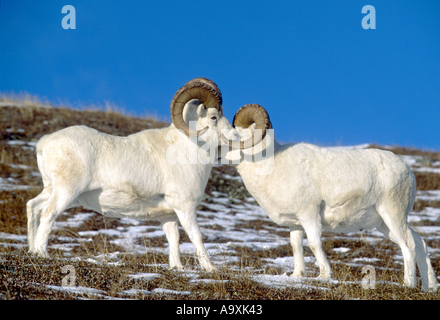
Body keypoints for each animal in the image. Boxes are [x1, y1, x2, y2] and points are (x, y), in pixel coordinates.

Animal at [26, 78, 237, 272]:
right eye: (213, 117)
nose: (236, 137)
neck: (189, 150)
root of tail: (45, 143)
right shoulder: (185, 208)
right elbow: (196, 236)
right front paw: (211, 269)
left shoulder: (169, 216)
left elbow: (174, 239)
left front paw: (177, 268)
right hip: (66, 192)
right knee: (48, 213)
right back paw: (42, 253)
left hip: (53, 190)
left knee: (33, 207)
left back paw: (32, 250)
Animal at [222, 104, 438, 292]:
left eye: (234, 135)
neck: (271, 165)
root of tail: (407, 171)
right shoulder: (295, 223)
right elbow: (296, 246)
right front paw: (297, 276)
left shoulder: (309, 215)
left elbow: (314, 243)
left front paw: (324, 275)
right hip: (385, 225)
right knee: (420, 243)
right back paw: (430, 288)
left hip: (393, 215)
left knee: (408, 245)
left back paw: (408, 284)